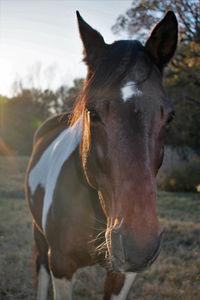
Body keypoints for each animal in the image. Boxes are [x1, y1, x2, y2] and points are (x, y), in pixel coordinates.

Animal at [25, 10, 177, 298]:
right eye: (92, 112)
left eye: (170, 117)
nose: (138, 245)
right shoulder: (61, 266)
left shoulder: (121, 276)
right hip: (40, 238)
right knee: (39, 269)